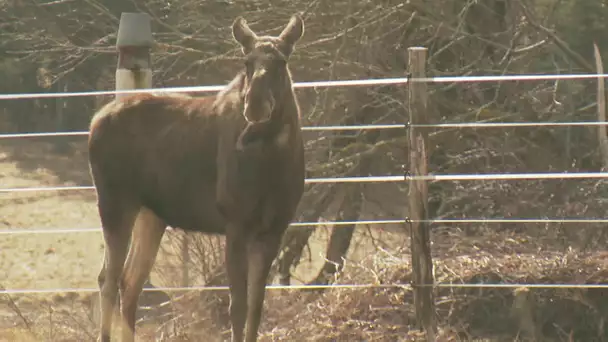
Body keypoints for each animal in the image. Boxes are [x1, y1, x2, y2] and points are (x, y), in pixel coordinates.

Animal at [88, 14, 306, 342]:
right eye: (246, 61)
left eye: (282, 61)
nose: (254, 104)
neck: (273, 162)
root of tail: (94, 122)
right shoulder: (236, 223)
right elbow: (237, 307)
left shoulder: (274, 229)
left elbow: (256, 308)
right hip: (114, 202)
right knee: (108, 279)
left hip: (152, 214)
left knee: (130, 281)